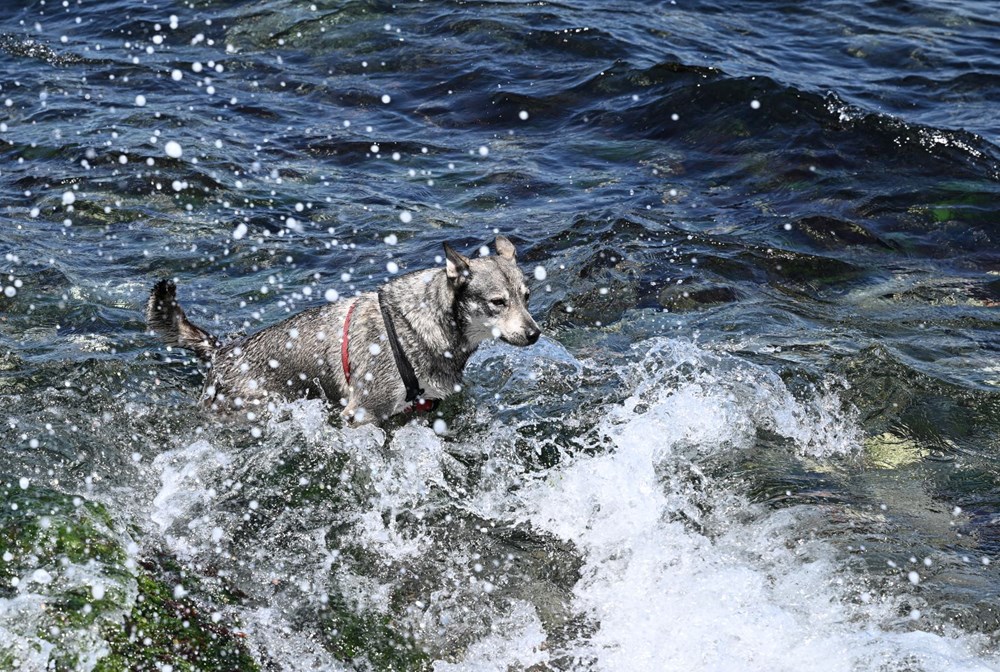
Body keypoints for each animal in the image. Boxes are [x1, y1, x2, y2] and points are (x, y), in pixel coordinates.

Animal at [143, 238, 540, 426]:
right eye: (497, 302)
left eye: (527, 297)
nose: (535, 334)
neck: (417, 326)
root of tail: (222, 351)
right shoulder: (363, 413)